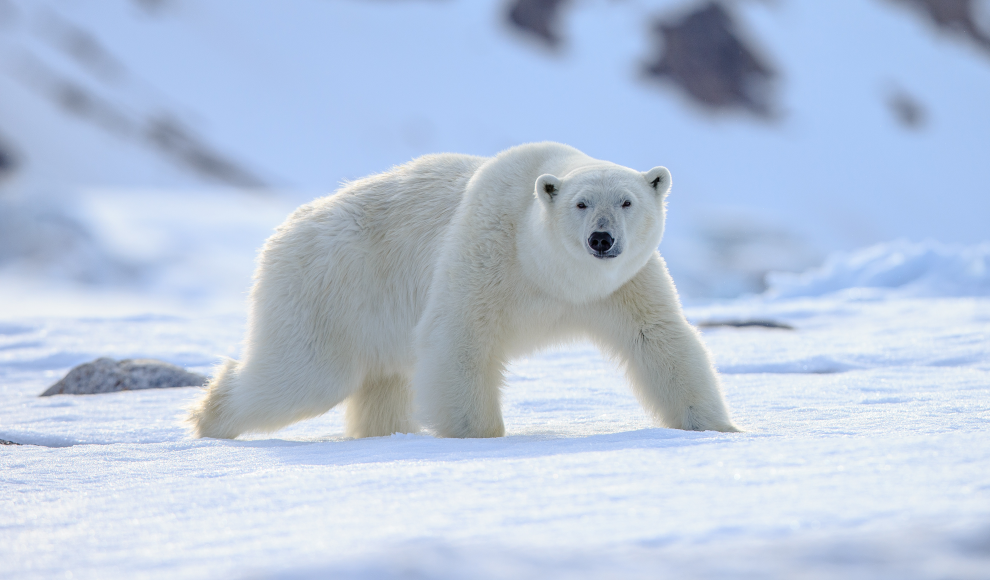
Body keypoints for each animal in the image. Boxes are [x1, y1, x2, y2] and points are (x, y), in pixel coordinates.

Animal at [190, 143, 740, 438]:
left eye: (627, 201)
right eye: (581, 203)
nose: (601, 239)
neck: (549, 272)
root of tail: (285, 229)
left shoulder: (623, 285)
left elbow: (660, 340)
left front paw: (718, 428)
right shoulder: (487, 251)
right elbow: (460, 337)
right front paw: (479, 437)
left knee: (382, 383)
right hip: (329, 288)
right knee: (303, 375)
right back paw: (208, 418)